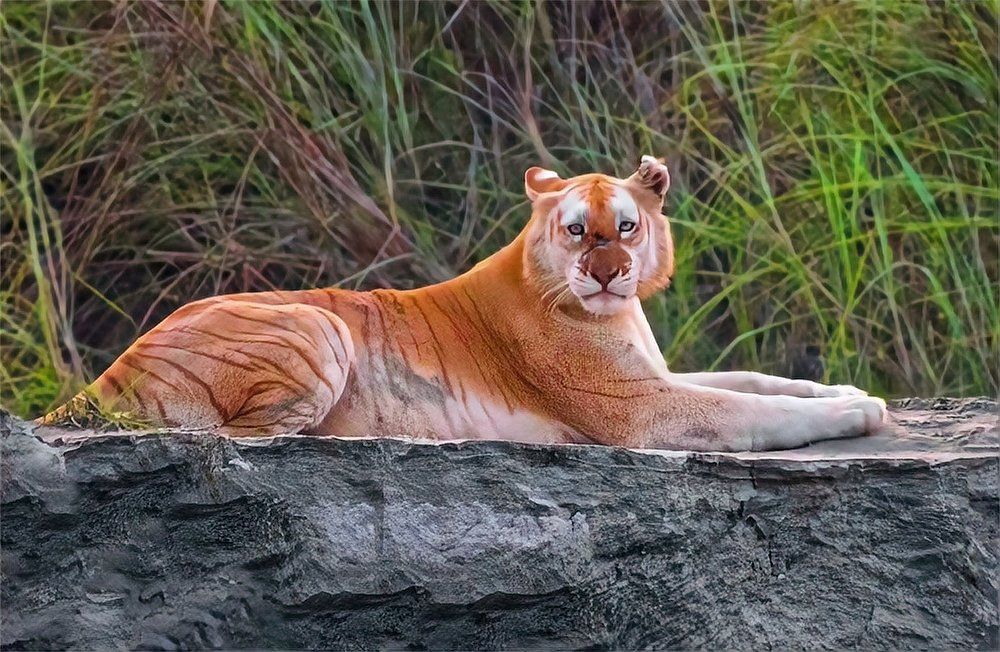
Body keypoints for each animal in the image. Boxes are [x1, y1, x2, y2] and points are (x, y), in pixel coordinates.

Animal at [38, 156, 885, 450]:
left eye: (627, 226)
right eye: (576, 230)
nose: (607, 274)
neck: (614, 314)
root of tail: (107, 371)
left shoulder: (656, 374)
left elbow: (761, 381)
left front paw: (848, 389)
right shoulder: (639, 408)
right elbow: (754, 409)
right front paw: (857, 413)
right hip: (319, 325)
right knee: (248, 439)